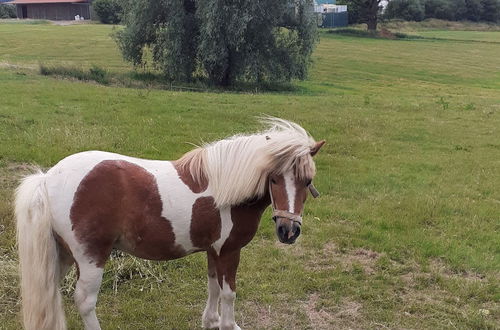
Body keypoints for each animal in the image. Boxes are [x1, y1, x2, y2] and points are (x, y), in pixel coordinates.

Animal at [14, 118, 324, 330]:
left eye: (307, 181)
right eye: (274, 179)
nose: (288, 232)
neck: (227, 188)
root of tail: (47, 178)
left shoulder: (213, 250)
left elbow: (212, 286)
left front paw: (210, 321)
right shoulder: (229, 251)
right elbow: (228, 293)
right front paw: (228, 325)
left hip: (62, 254)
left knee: (50, 290)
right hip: (91, 257)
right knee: (85, 301)